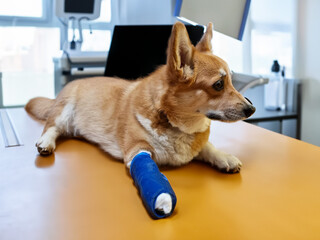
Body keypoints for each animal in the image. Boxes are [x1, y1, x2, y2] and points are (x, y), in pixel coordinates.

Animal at [24, 21, 255, 216]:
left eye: (232, 81)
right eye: (218, 85)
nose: (251, 109)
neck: (174, 121)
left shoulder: (197, 143)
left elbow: (209, 148)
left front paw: (225, 158)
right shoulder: (139, 151)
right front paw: (163, 198)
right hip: (63, 111)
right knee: (51, 127)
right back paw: (45, 143)